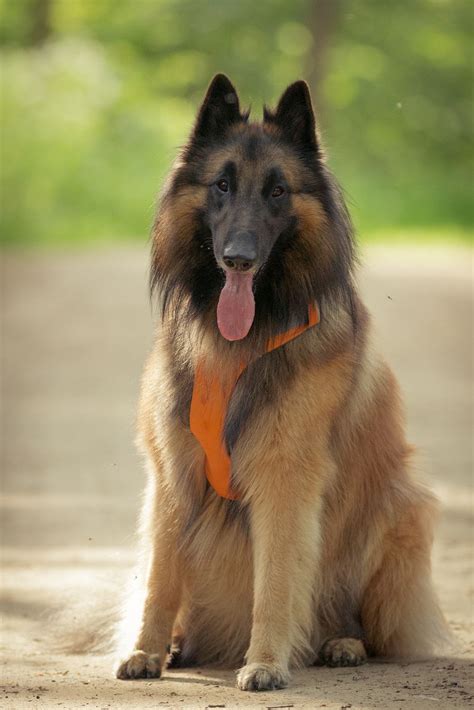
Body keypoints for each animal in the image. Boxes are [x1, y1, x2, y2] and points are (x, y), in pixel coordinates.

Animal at [115, 75, 448, 692]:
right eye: (222, 185)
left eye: (277, 191)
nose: (238, 259)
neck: (240, 345)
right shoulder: (173, 474)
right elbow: (158, 580)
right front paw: (145, 650)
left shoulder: (284, 478)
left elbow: (274, 583)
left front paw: (266, 661)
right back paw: (178, 645)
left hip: (397, 508)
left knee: (358, 618)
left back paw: (340, 643)